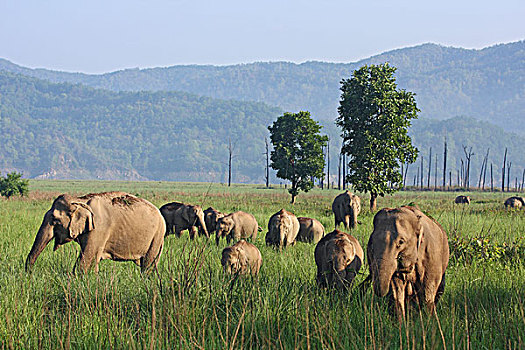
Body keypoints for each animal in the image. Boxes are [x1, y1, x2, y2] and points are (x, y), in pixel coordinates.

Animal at [25, 191, 165, 274]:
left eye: (55, 220)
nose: (29, 274)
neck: (79, 200)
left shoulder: (99, 229)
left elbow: (86, 260)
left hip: (157, 236)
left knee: (148, 265)